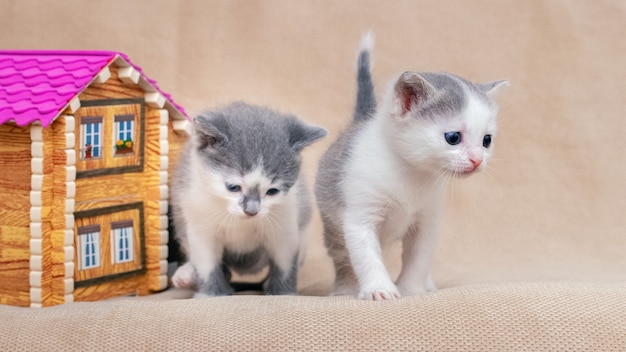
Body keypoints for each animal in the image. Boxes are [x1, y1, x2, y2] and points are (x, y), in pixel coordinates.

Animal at [171, 102, 326, 296]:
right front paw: (212, 293)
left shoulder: (286, 221)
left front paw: (282, 292)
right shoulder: (198, 220)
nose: (251, 210)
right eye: (233, 187)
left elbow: (285, 262)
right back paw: (187, 275)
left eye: (272, 191)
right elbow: (206, 263)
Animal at [314, 34, 504, 302]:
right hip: (331, 222)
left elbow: (419, 258)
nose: (477, 159)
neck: (410, 174)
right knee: (342, 256)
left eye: (486, 140)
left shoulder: (427, 221)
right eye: (453, 137)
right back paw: (345, 288)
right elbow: (366, 256)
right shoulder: (359, 216)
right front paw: (378, 288)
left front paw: (412, 289)